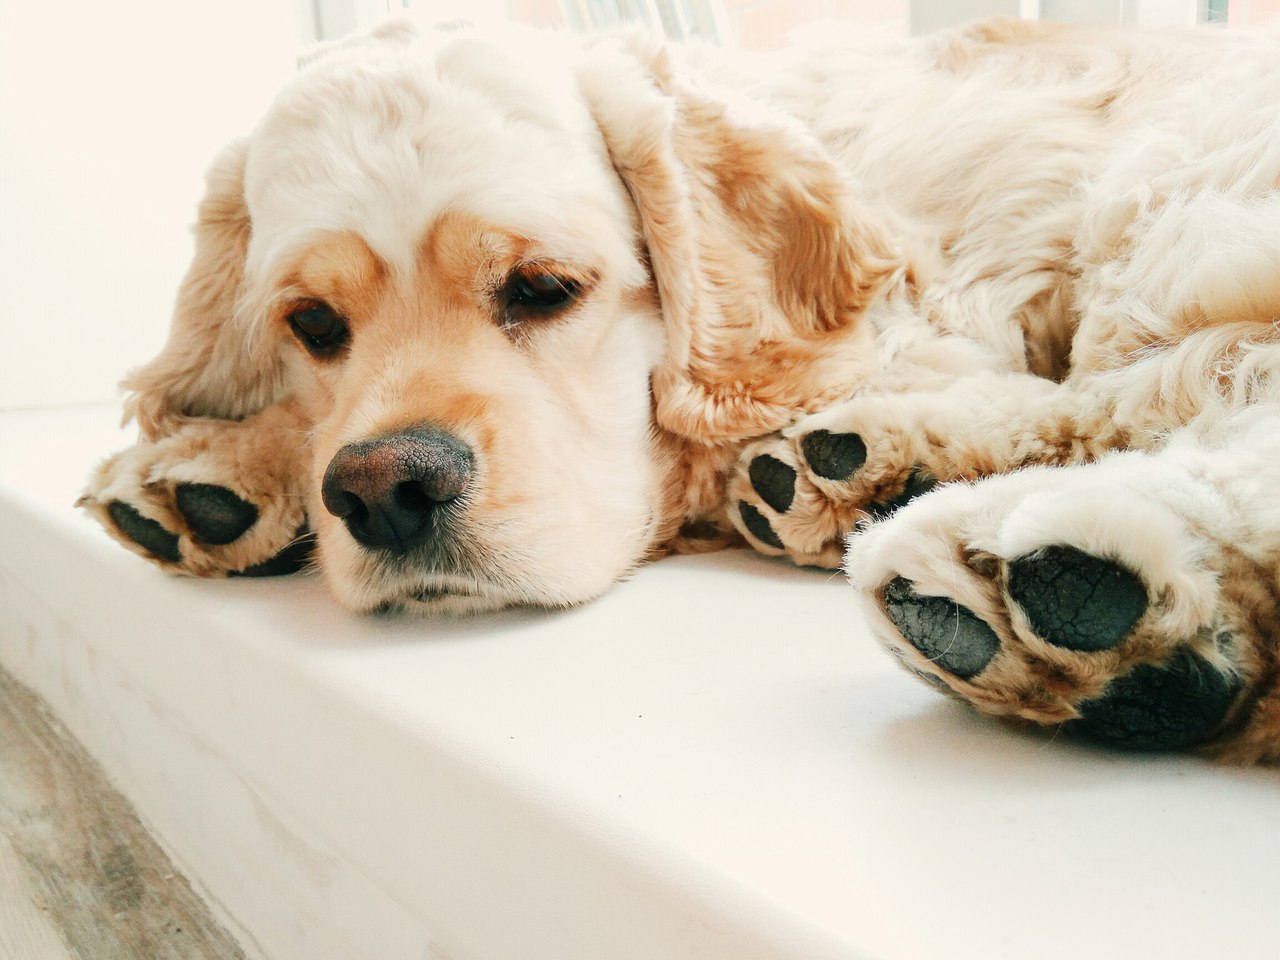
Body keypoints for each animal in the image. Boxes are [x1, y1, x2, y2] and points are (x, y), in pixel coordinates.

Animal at [79, 17, 1280, 762]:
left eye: (542, 287)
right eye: (314, 326)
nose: (382, 493)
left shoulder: (931, 314)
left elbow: (693, 442)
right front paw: (218, 462)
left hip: (1172, 202)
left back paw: (1066, 596)